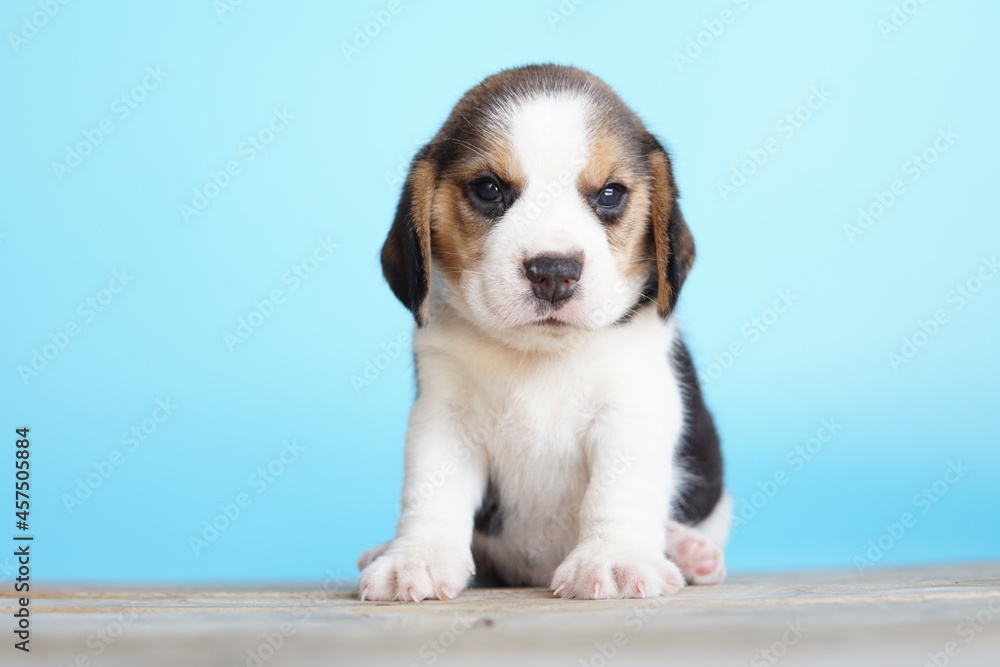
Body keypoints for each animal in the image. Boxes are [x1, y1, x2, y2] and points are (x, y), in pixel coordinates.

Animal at [358, 65, 728, 604]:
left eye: (610, 194)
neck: (539, 356)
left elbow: (619, 491)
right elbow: (431, 492)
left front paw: (614, 558)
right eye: (489, 189)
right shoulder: (444, 420)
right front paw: (417, 557)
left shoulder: (633, 410)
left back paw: (688, 550)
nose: (554, 271)